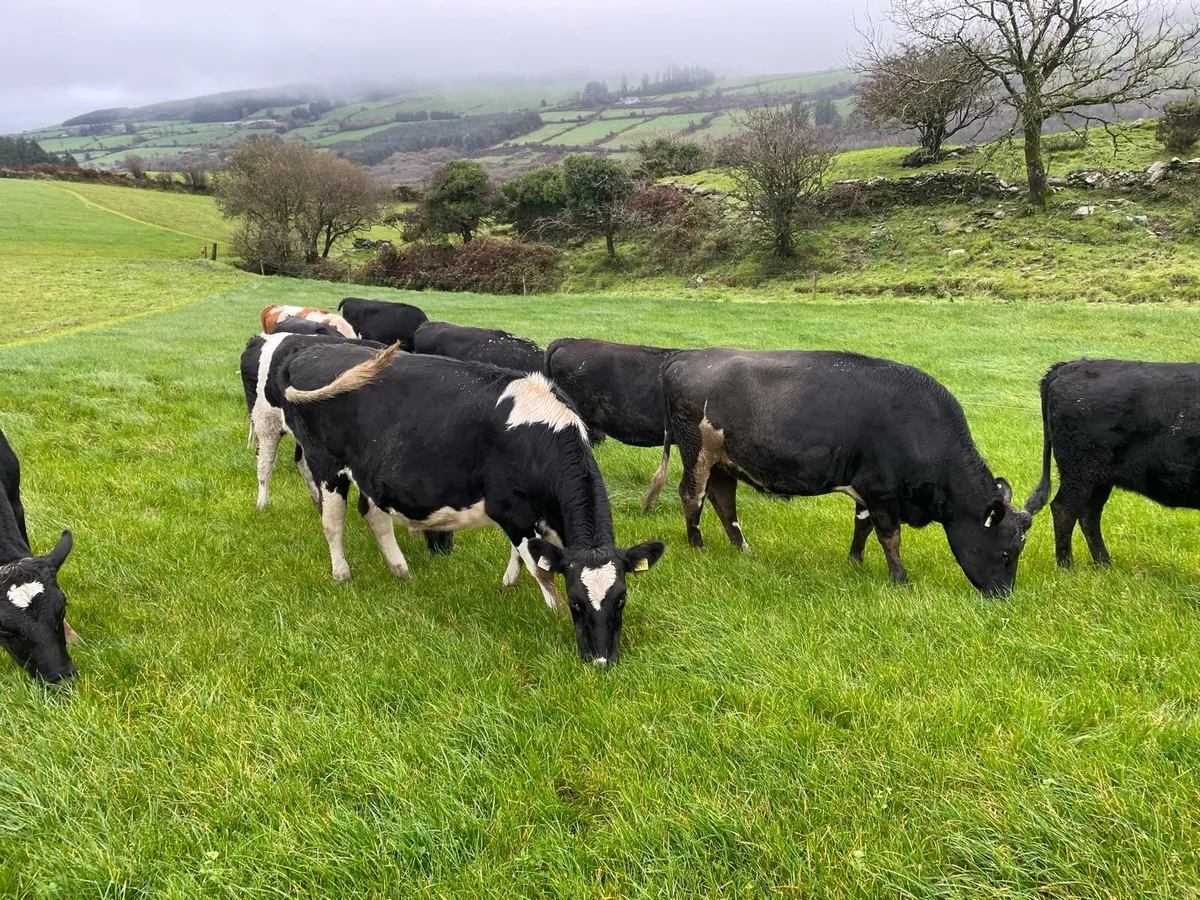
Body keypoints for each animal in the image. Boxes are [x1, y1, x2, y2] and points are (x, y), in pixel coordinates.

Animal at [240, 333, 453, 554]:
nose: (443, 550)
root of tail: (260, 339)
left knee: (300, 461)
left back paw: (316, 501)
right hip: (266, 422)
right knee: (265, 463)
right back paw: (263, 505)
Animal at [279, 342, 664, 665]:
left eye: (621, 598)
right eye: (576, 602)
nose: (601, 660)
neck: (540, 434)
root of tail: (310, 351)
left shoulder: (538, 516)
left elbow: (525, 555)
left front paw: (509, 583)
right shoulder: (510, 510)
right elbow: (539, 567)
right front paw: (552, 609)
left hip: (373, 475)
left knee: (375, 516)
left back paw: (401, 570)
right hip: (325, 464)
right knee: (333, 521)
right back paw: (342, 572)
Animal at [659, 349, 1033, 596]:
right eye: (1006, 553)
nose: (1003, 596)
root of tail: (686, 357)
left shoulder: (866, 489)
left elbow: (862, 526)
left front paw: (855, 562)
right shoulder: (881, 490)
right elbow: (889, 536)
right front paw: (901, 579)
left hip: (726, 462)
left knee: (724, 503)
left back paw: (743, 550)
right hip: (698, 453)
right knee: (692, 496)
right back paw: (697, 546)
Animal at [1025, 358, 1200, 568]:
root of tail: (1069, 365)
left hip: (1099, 478)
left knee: (1088, 514)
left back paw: (1104, 565)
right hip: (1080, 471)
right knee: (1064, 509)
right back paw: (1066, 565)